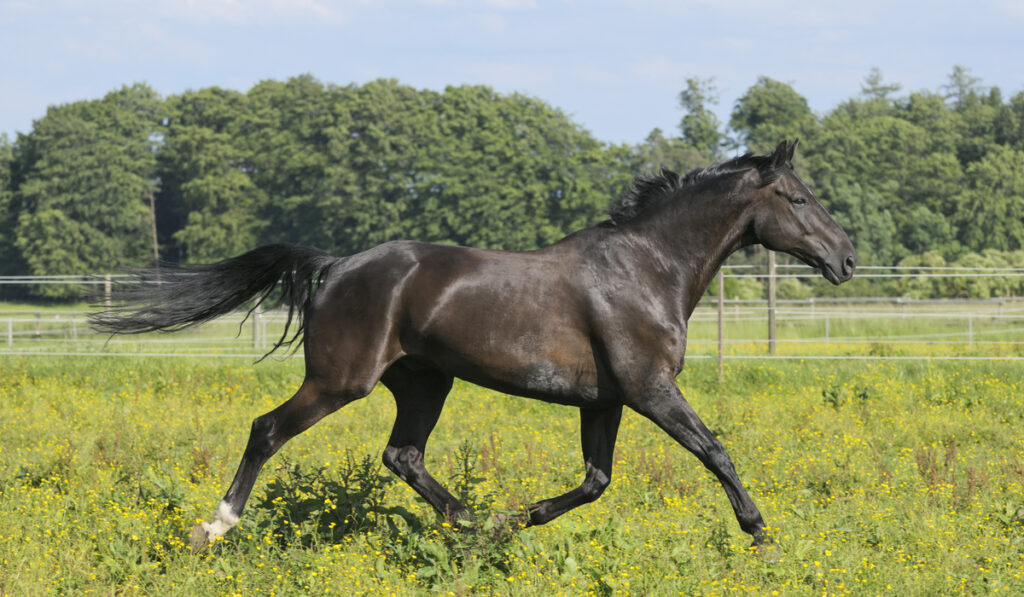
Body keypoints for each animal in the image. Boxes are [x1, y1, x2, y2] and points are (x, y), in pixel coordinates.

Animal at [90, 139, 856, 552]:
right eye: (797, 199)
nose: (846, 258)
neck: (647, 268)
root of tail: (335, 266)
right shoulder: (650, 389)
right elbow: (715, 450)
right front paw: (761, 535)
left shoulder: (605, 400)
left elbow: (595, 480)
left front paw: (523, 517)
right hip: (341, 381)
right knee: (267, 430)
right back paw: (214, 528)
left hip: (425, 382)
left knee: (402, 454)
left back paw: (476, 524)